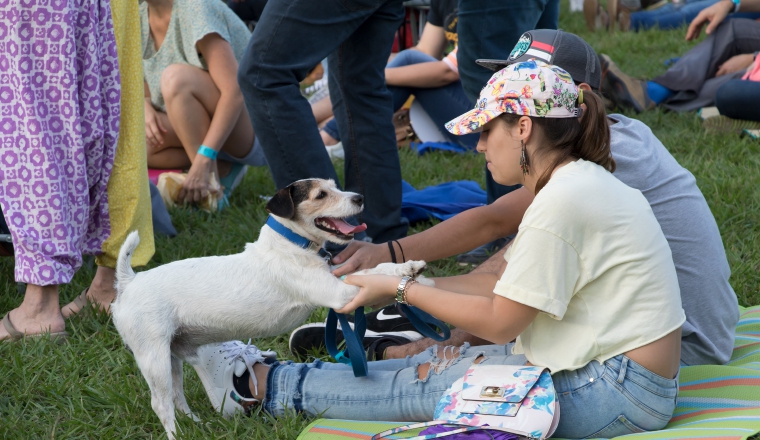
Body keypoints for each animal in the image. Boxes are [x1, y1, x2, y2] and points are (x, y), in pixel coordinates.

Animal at [113, 178, 434, 436]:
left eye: (335, 185)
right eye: (320, 195)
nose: (359, 198)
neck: (291, 245)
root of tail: (129, 281)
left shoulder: (336, 279)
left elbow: (373, 269)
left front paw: (409, 268)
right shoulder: (338, 292)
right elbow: (368, 276)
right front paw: (409, 278)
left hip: (171, 355)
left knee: (177, 396)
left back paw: (196, 424)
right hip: (152, 356)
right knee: (161, 403)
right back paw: (175, 435)